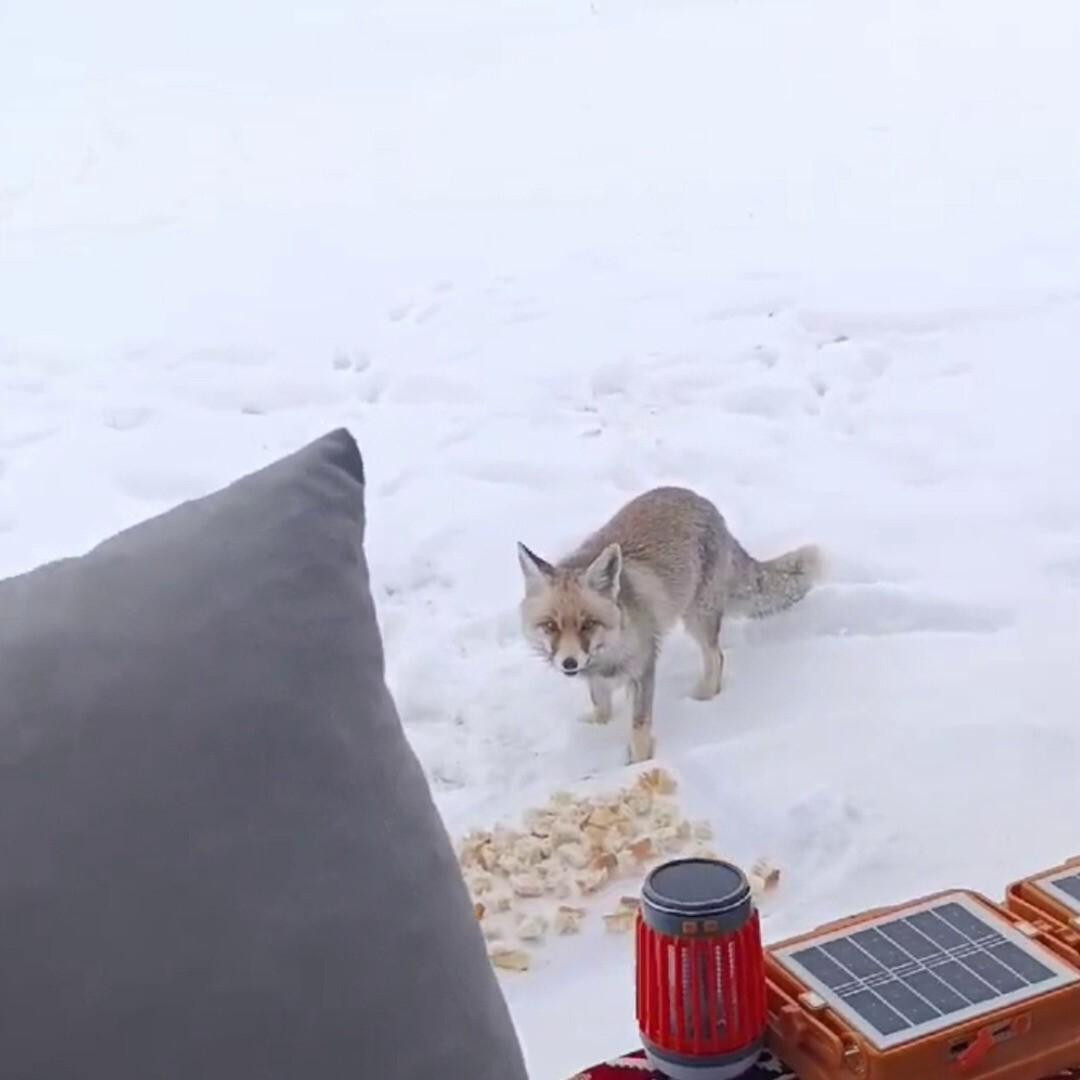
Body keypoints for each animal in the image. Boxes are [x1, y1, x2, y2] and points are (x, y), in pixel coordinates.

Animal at [514, 486, 816, 764]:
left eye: (588, 624)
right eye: (550, 625)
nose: (569, 663)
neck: (609, 652)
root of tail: (702, 500)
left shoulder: (644, 667)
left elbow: (639, 729)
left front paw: (637, 765)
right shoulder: (597, 679)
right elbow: (601, 706)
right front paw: (598, 732)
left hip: (697, 618)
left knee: (716, 657)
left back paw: (705, 698)